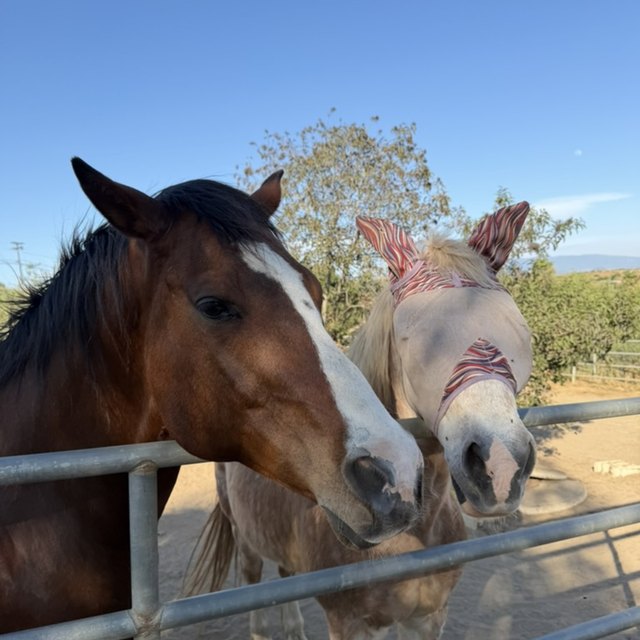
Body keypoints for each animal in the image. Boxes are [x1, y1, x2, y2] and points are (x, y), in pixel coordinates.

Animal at [184, 202, 535, 639]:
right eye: (412, 338)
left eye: (518, 329)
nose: (500, 466)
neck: (414, 533)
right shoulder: (352, 624)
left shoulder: (429, 617)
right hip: (245, 540)